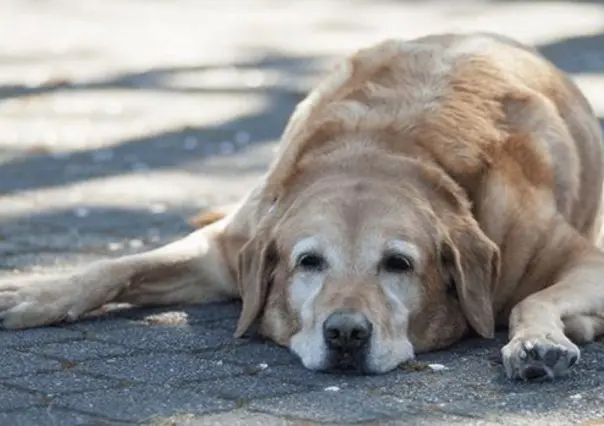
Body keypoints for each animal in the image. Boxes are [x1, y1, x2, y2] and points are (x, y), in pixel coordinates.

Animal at [1, 33, 604, 380]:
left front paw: (537, 343)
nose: (346, 334)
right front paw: (36, 294)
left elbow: (532, 300)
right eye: (308, 262)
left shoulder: (584, 260)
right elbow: (116, 266)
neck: (382, 149)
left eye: (399, 264)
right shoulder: (226, 249)